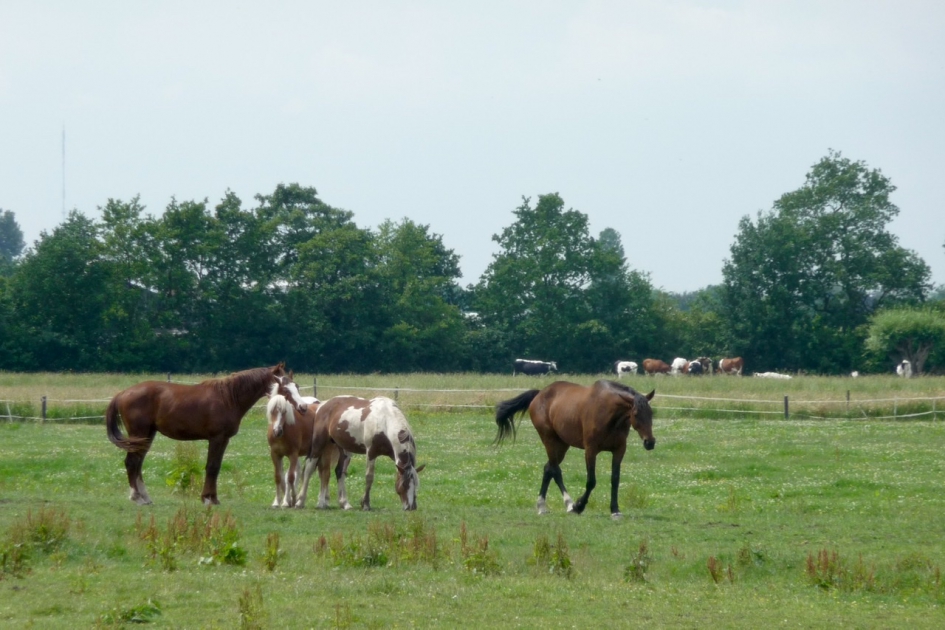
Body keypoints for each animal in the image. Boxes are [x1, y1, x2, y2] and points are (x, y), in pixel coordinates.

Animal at [106, 363, 307, 506]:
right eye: (285, 389)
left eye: (297, 386)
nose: (303, 407)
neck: (228, 397)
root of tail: (123, 393)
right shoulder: (216, 438)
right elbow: (211, 467)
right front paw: (207, 498)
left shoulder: (224, 440)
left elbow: (216, 467)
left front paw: (213, 498)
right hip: (138, 434)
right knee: (131, 462)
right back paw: (137, 497)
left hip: (147, 436)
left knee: (138, 464)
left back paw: (145, 497)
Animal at [494, 380, 655, 518]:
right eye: (636, 414)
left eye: (651, 413)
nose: (650, 442)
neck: (609, 414)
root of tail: (540, 394)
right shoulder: (590, 450)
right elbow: (591, 481)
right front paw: (579, 506)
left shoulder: (619, 450)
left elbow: (615, 479)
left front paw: (615, 510)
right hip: (549, 440)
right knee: (555, 470)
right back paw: (569, 504)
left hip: (562, 445)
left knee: (548, 469)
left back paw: (542, 506)